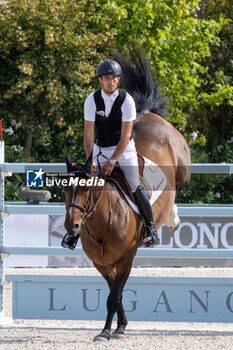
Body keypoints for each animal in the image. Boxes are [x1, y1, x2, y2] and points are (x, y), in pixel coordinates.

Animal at [62, 47, 190, 340]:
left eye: (87, 189)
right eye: (65, 189)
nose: (72, 227)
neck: (102, 224)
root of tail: (147, 114)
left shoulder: (126, 259)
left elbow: (114, 296)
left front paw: (108, 332)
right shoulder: (102, 263)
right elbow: (114, 294)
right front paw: (119, 326)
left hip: (182, 165)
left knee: (180, 184)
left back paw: (173, 218)